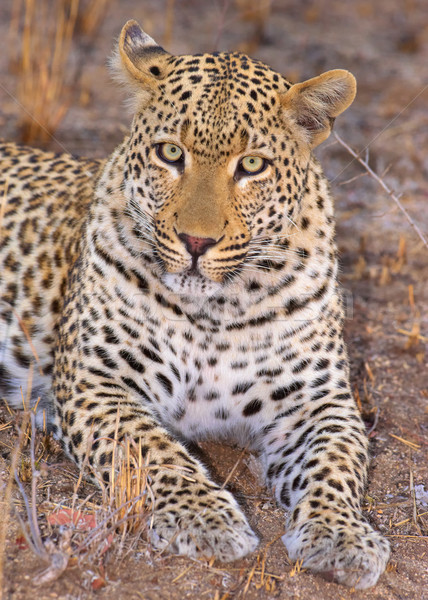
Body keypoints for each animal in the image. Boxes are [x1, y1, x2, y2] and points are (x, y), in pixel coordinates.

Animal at [0, 19, 392, 592]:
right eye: (170, 154)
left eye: (251, 165)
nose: (196, 242)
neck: (218, 310)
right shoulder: (96, 381)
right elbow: (150, 448)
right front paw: (203, 518)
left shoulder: (318, 401)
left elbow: (336, 463)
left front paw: (341, 536)